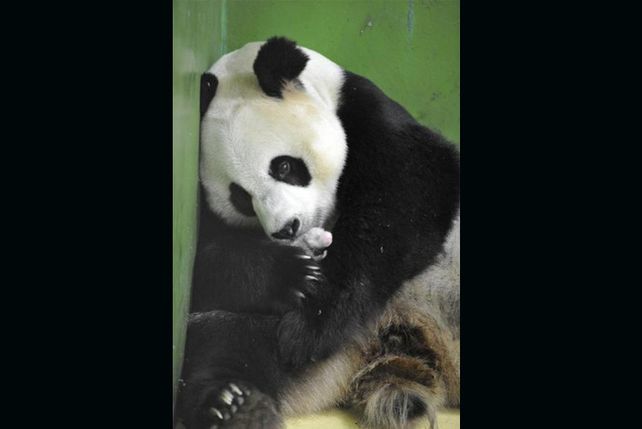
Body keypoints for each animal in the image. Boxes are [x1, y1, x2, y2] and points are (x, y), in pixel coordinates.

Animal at [176, 37, 460, 429]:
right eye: (240, 197)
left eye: (283, 166)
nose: (286, 228)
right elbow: (204, 265)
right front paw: (291, 274)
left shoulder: (368, 117)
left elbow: (410, 194)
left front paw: (312, 326)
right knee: (220, 340)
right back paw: (236, 405)